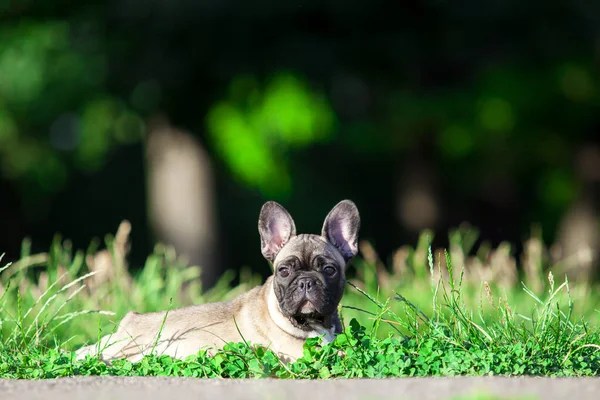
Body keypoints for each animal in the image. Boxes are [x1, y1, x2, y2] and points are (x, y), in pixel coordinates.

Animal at [72, 199, 358, 362]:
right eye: (285, 271)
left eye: (329, 270)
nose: (306, 282)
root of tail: (129, 320)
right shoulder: (296, 351)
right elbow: (341, 353)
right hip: (132, 345)